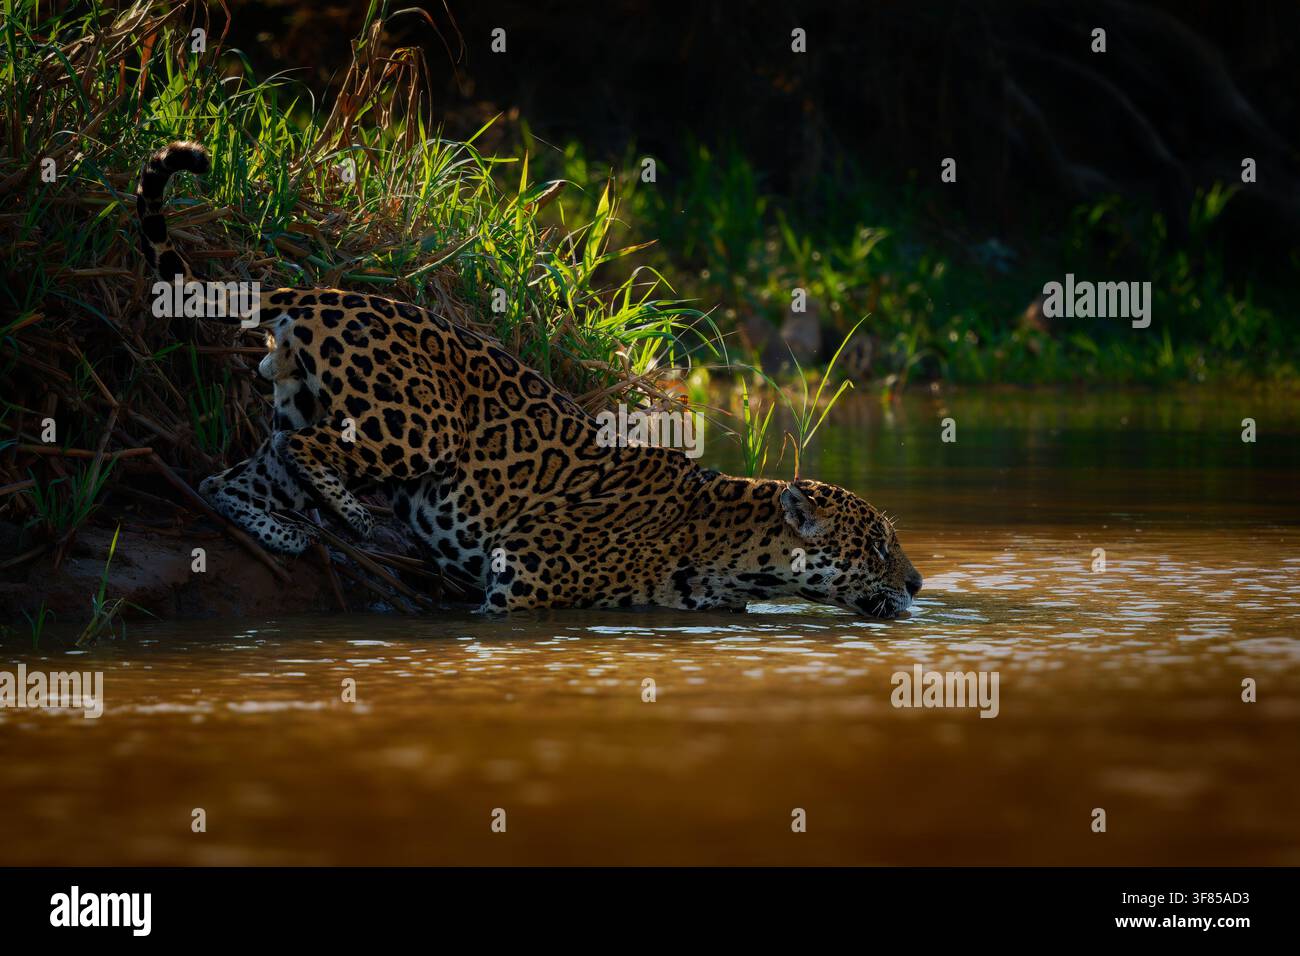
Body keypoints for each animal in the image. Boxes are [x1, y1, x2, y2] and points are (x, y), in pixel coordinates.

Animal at [137, 141, 923, 616]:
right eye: (878, 547)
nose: (918, 583)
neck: (731, 550)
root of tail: (325, 294)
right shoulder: (518, 595)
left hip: (299, 402)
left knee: (234, 475)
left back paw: (284, 528)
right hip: (418, 425)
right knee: (307, 452)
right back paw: (355, 516)